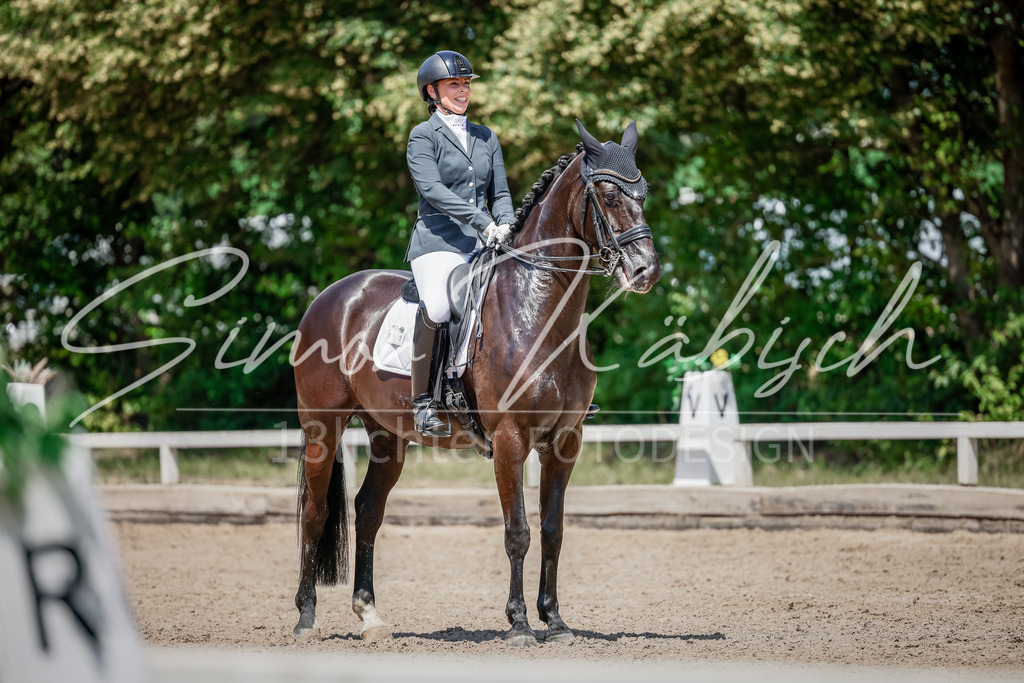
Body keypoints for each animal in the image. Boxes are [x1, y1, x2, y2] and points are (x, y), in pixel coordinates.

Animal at [291, 119, 661, 646]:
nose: (645, 271)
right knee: (315, 512)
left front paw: (555, 621)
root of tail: (331, 296)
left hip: (388, 435)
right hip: (322, 426)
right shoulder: (510, 439)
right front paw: (521, 624)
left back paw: (370, 616)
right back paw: (306, 618)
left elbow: (553, 530)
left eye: (643, 193)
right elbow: (518, 531)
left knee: (368, 511)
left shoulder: (564, 441)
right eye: (608, 195)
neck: (538, 308)